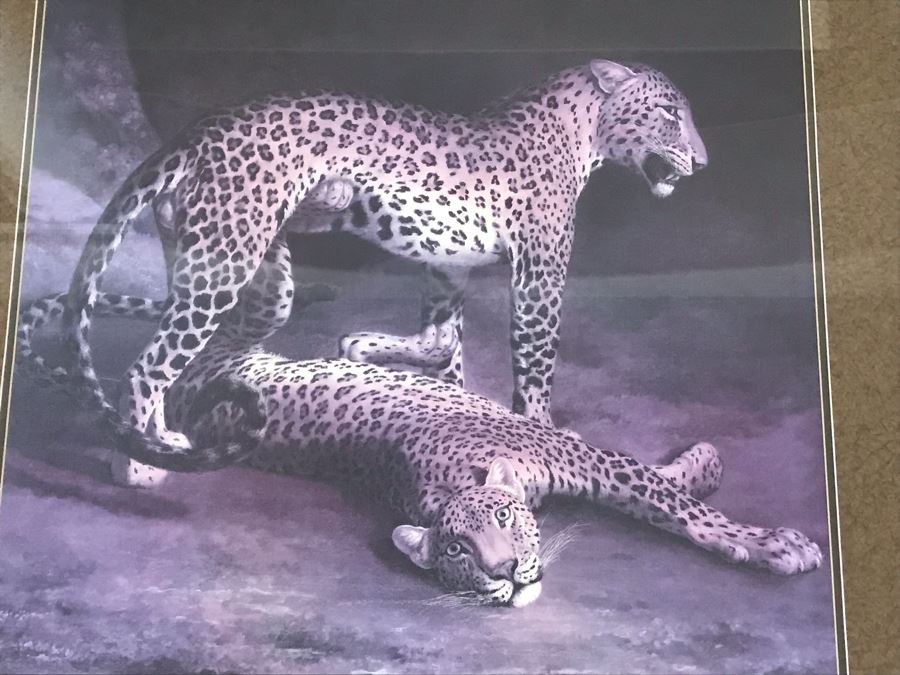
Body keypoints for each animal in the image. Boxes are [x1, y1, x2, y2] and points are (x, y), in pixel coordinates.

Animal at [19, 284, 821, 608]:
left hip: (248, 327)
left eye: (502, 521)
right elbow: (664, 492)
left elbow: (679, 506)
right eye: (457, 553)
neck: (441, 484)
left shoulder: (581, 456)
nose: (507, 573)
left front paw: (771, 541)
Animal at [62, 58, 708, 487]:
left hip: (255, 274)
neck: (583, 132)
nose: (703, 162)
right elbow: (535, 364)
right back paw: (138, 463)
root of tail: (199, 129)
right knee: (149, 366)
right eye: (670, 113)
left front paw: (446, 395)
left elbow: (445, 345)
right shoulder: (540, 275)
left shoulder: (448, 267)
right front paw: (541, 427)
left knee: (196, 352)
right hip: (227, 260)